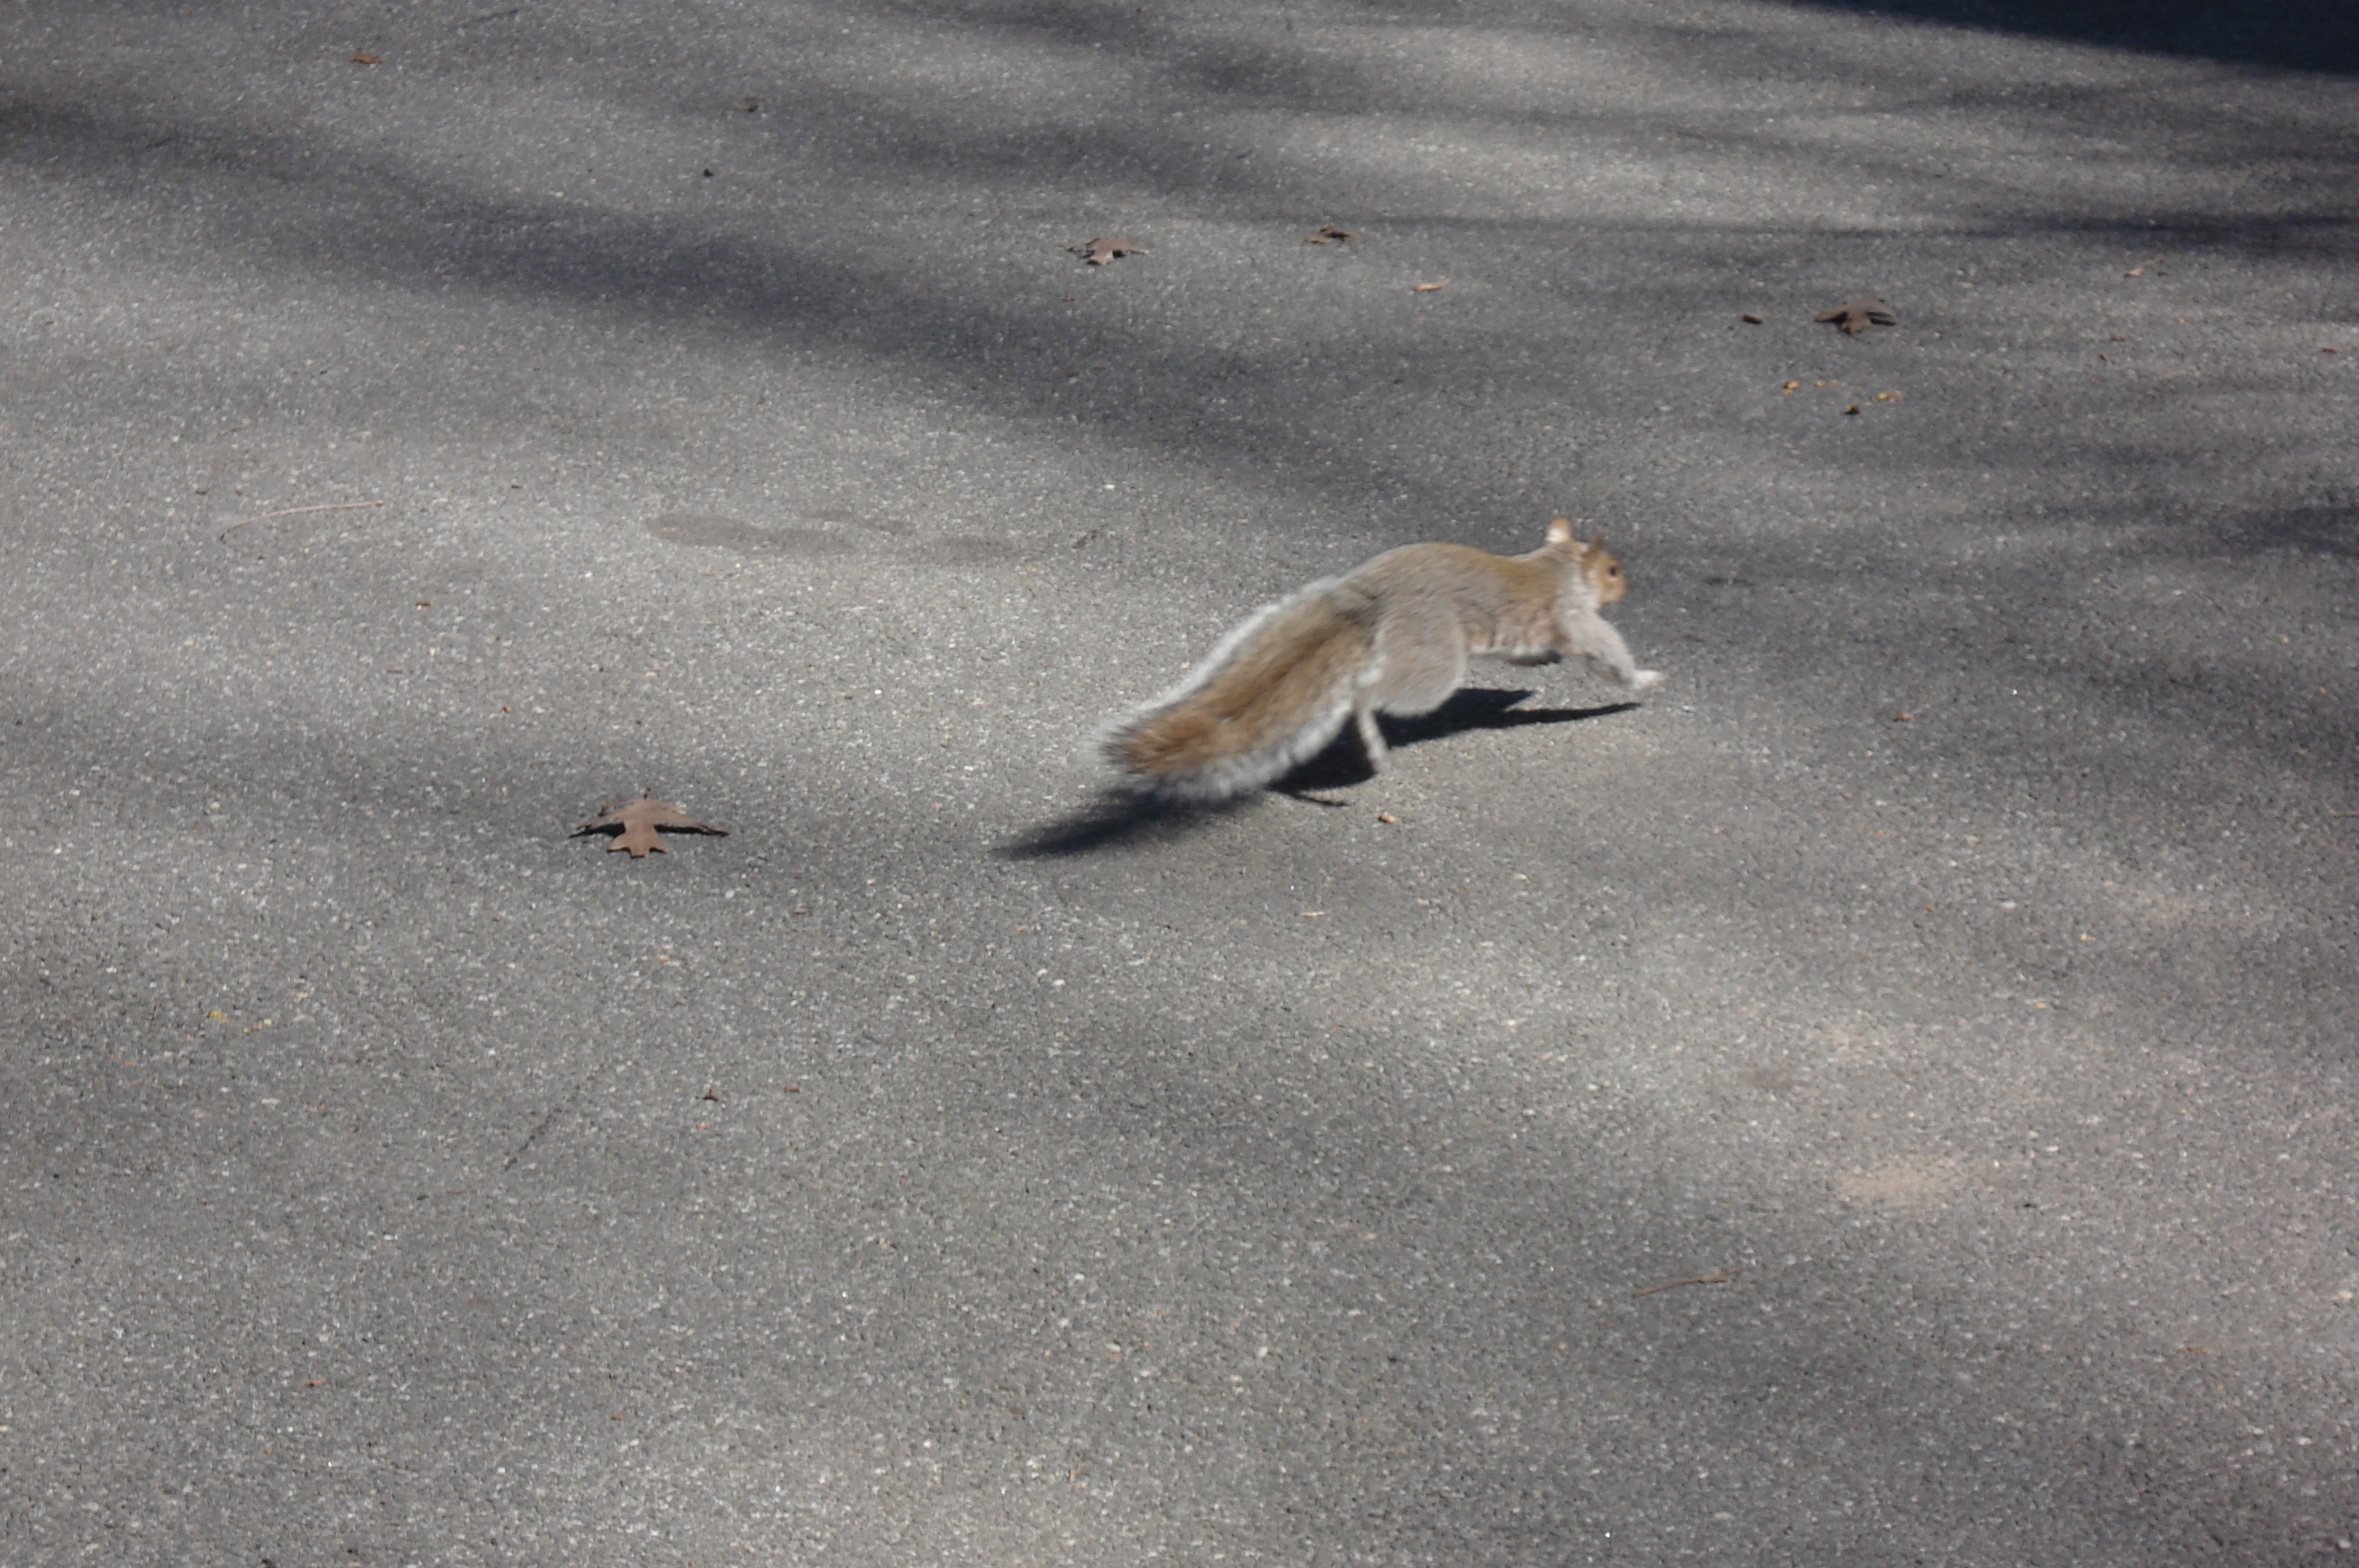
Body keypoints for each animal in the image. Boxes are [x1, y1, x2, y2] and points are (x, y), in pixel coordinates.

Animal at [1099, 518, 1660, 802]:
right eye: (1613, 570)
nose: (1628, 586)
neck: (1558, 565)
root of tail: (1370, 595)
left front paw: (1541, 667)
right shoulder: (1575, 616)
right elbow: (1608, 653)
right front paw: (1645, 680)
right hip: (1435, 661)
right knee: (1370, 693)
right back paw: (1370, 737)